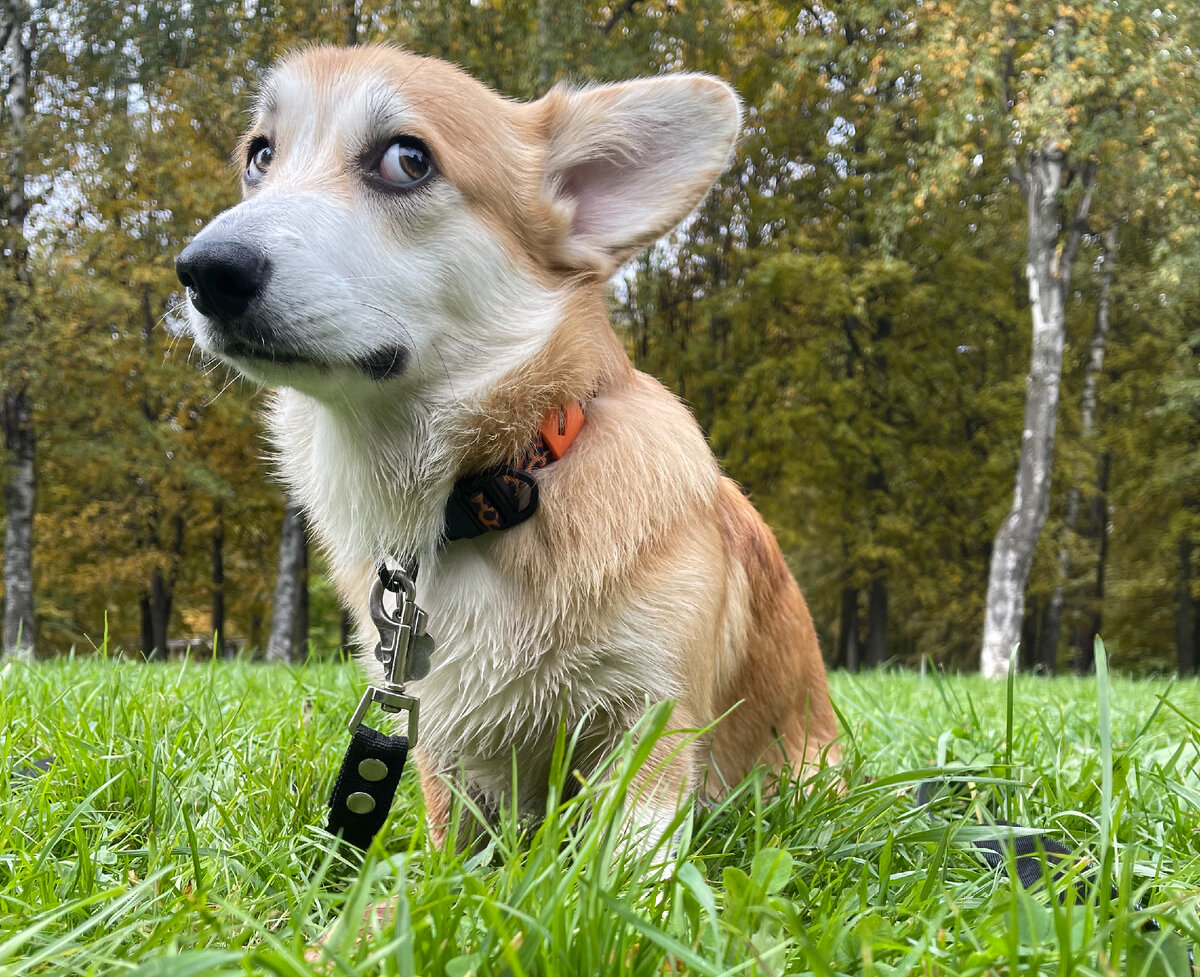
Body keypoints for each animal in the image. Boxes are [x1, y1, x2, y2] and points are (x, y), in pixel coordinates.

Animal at [175, 42, 835, 844]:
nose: (202, 270)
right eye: (260, 156)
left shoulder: (653, 715)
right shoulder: (436, 739)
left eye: (407, 160)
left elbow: (628, 852)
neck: (498, 484)